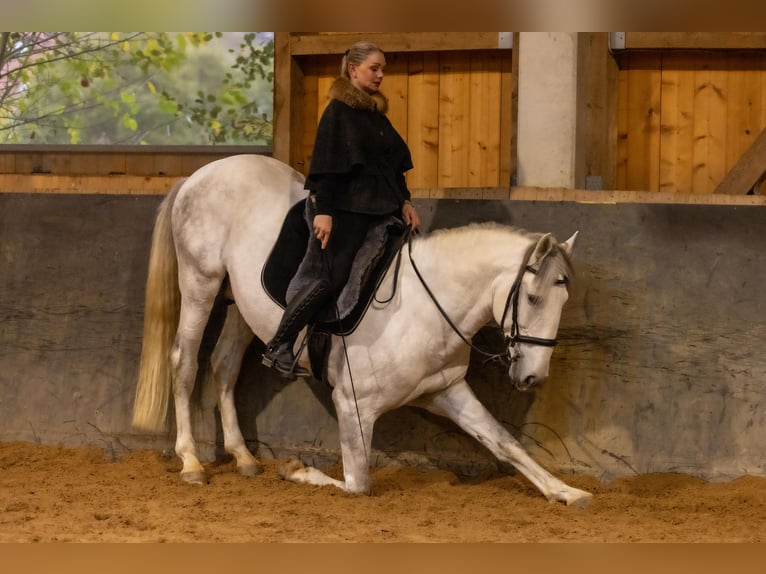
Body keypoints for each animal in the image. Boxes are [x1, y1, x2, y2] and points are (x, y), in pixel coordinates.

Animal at [132, 155, 592, 506]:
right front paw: (295, 470)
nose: (533, 377)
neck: (426, 308)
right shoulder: (354, 405)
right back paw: (191, 463)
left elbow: (504, 441)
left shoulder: (447, 390)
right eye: (532, 298)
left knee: (224, 366)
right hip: (200, 283)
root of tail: (201, 173)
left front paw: (567, 491)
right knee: (185, 362)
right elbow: (357, 484)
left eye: (563, 300)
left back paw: (244, 457)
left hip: (238, 305)